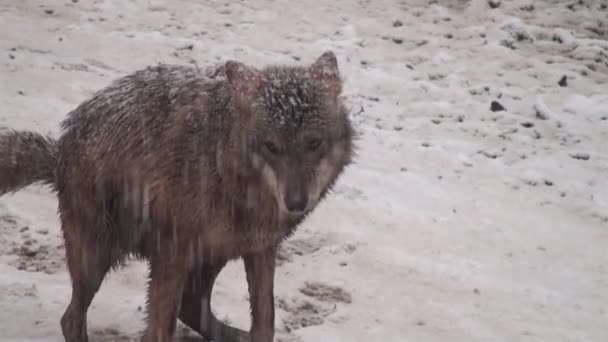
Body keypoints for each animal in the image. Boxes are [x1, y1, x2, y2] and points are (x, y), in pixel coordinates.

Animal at [0, 51, 354, 342]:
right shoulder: (170, 255)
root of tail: (60, 151)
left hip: (211, 255)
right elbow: (159, 330)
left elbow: (265, 321)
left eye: (314, 143)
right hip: (100, 258)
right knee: (71, 319)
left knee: (192, 309)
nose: (296, 202)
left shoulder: (261, 249)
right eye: (271, 146)